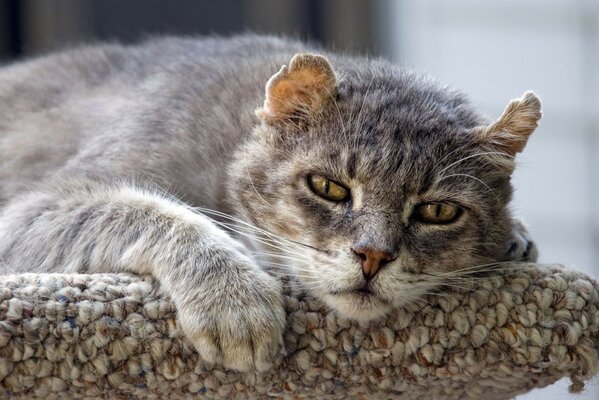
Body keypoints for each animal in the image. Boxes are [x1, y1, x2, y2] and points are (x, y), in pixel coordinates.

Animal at [0, 34, 540, 372]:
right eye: (328, 187)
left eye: (437, 212)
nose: (373, 256)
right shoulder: (34, 208)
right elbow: (154, 211)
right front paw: (234, 298)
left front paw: (518, 237)